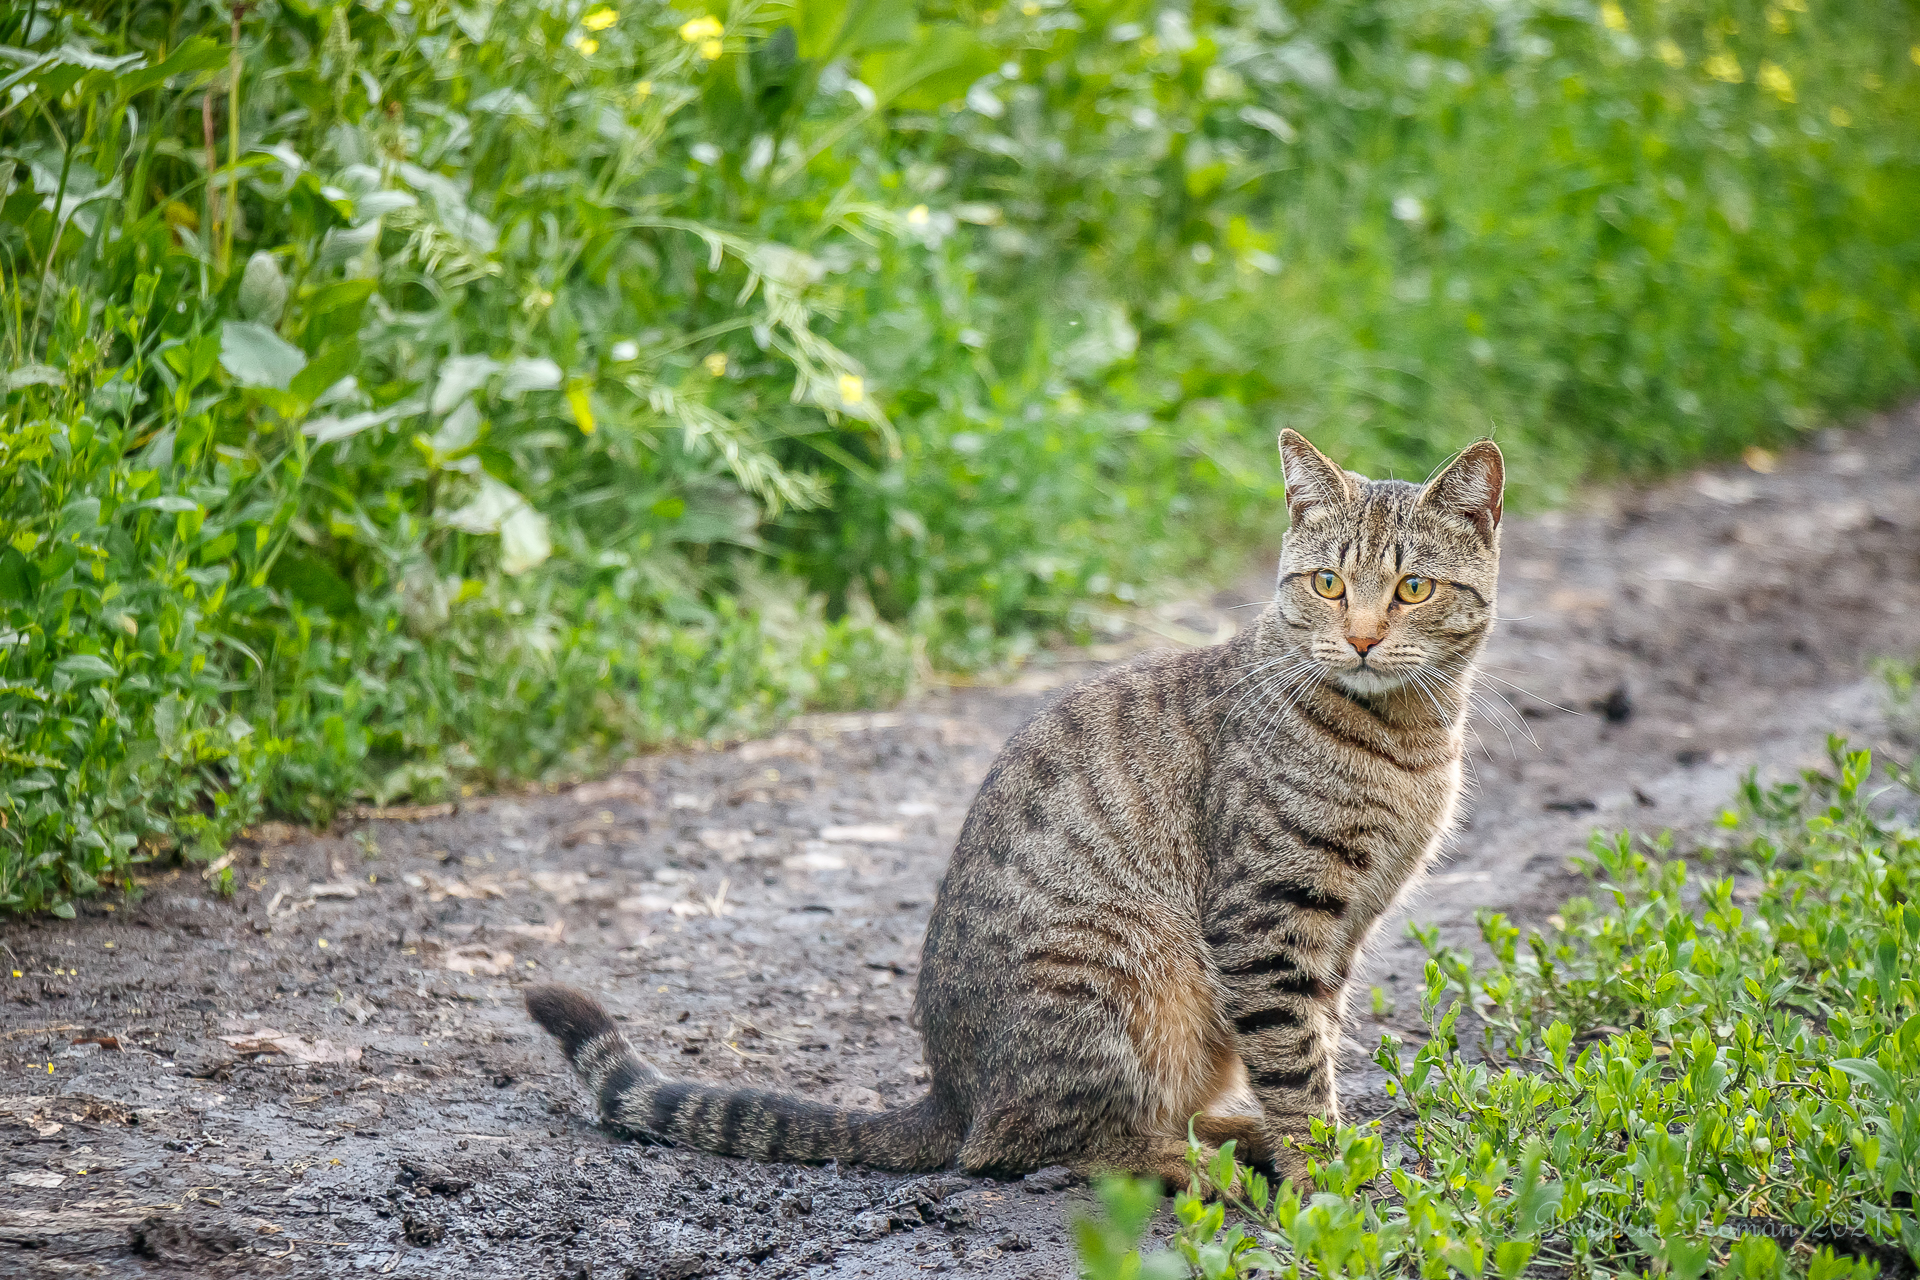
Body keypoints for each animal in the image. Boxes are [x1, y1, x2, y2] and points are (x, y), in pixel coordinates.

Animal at [526, 429, 1497, 1189]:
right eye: (1329, 584)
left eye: (1412, 589)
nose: (1361, 637)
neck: (1409, 738)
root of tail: (951, 1095)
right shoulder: (1268, 919)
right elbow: (1295, 1066)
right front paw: (1323, 1180)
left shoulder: (1338, 935)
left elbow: (1314, 1043)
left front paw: (1335, 1156)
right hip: (1116, 974)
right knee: (1040, 1144)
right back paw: (1207, 1165)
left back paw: (1230, 1135)